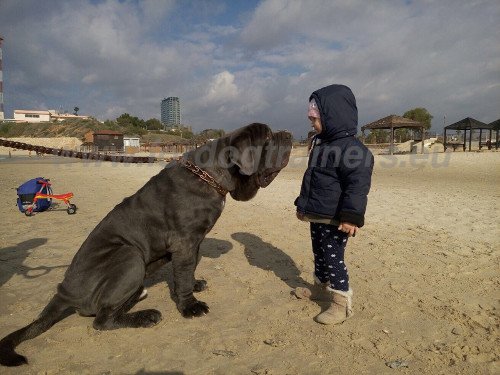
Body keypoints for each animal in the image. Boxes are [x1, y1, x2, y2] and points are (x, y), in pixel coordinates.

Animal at [0, 123, 292, 368]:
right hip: (129, 255)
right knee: (101, 320)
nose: (288, 134)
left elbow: (188, 269)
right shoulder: (185, 241)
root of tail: (64, 292)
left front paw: (194, 284)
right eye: (268, 136)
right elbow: (183, 276)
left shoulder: (194, 242)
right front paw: (190, 306)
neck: (210, 175)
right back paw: (146, 316)